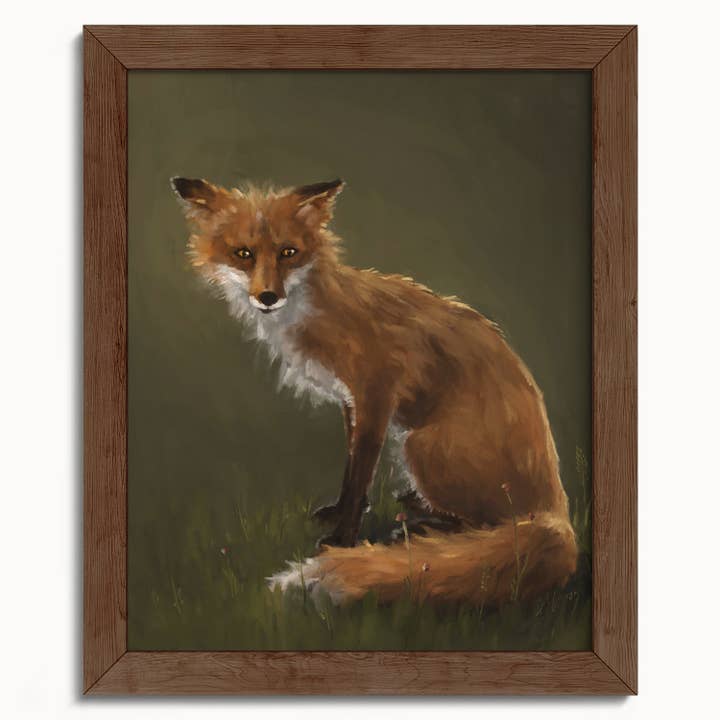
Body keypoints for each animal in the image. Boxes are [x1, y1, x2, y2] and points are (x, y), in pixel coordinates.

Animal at [171, 175, 578, 607]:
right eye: (243, 254)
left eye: (288, 253)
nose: (268, 297)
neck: (318, 310)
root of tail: (556, 508)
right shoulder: (351, 400)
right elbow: (351, 471)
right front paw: (338, 513)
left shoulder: (376, 394)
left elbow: (360, 475)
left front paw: (341, 539)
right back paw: (417, 509)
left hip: (419, 446)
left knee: (492, 526)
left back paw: (422, 528)